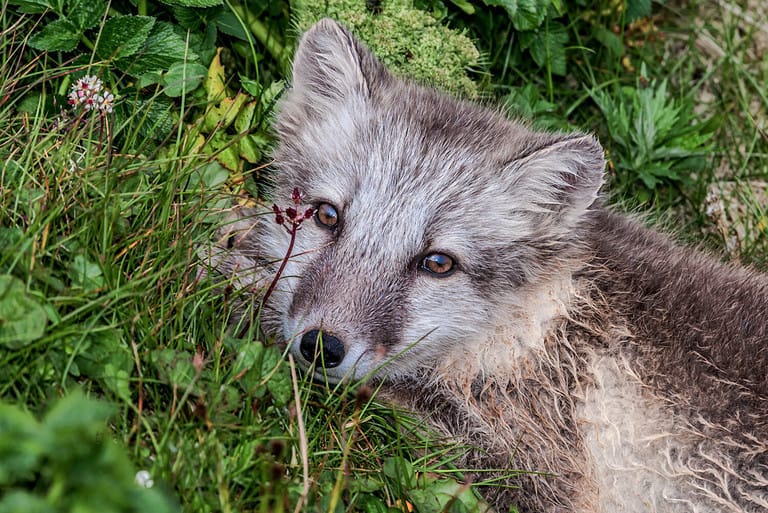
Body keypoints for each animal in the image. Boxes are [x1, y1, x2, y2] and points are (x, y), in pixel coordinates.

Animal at [204, 18, 768, 513]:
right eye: (326, 215)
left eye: (438, 262)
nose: (321, 347)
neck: (547, 316)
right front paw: (229, 229)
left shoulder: (546, 473)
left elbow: (390, 386)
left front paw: (230, 278)